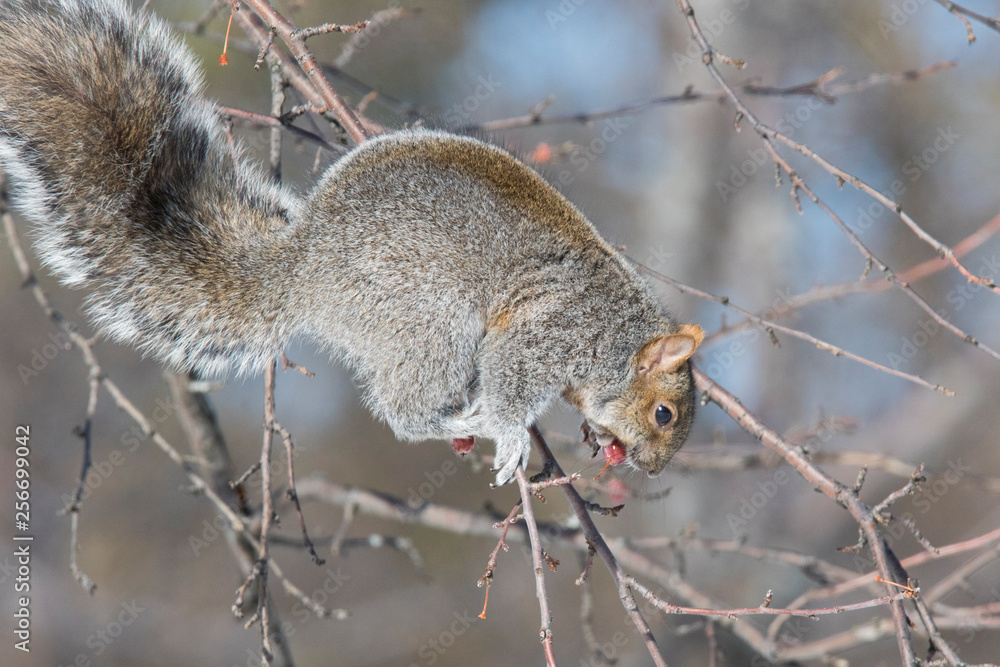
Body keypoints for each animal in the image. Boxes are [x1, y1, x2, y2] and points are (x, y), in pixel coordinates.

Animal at [0, 0, 704, 485]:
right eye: (665, 415)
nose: (649, 469)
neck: (614, 336)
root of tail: (302, 271)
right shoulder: (550, 332)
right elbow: (512, 377)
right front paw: (508, 432)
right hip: (426, 321)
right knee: (403, 413)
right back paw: (462, 420)